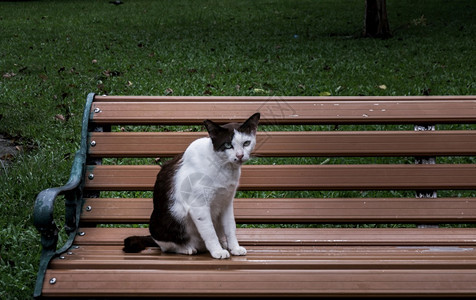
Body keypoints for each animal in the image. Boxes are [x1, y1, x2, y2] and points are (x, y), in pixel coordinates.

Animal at [122, 112, 260, 258]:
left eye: (246, 143)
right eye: (228, 145)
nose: (240, 155)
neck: (223, 167)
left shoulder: (226, 202)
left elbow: (230, 227)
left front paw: (235, 248)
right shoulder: (199, 205)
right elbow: (210, 232)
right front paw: (217, 251)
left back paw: (223, 243)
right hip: (166, 224)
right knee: (167, 247)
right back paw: (187, 248)